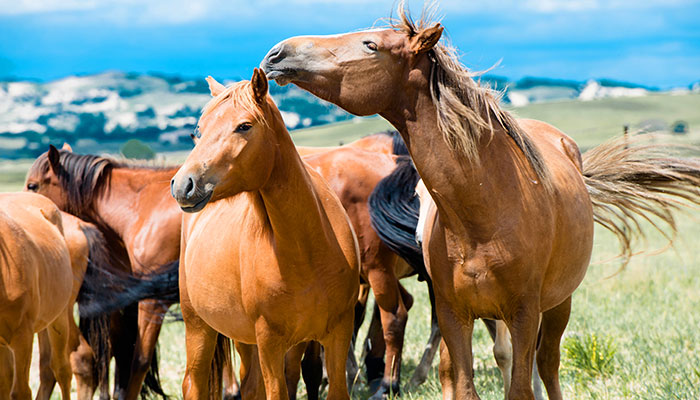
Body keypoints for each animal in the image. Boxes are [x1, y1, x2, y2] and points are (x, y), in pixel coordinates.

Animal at [167, 69, 358, 400]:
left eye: (244, 126)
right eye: (199, 131)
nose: (183, 185)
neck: (308, 252)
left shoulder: (337, 334)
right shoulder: (270, 341)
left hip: (245, 339)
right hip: (198, 325)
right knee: (194, 382)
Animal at [260, 4, 700, 398]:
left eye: (370, 45)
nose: (277, 52)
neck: (485, 210)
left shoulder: (523, 313)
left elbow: (520, 386)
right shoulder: (456, 315)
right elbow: (464, 383)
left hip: (559, 304)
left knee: (547, 366)